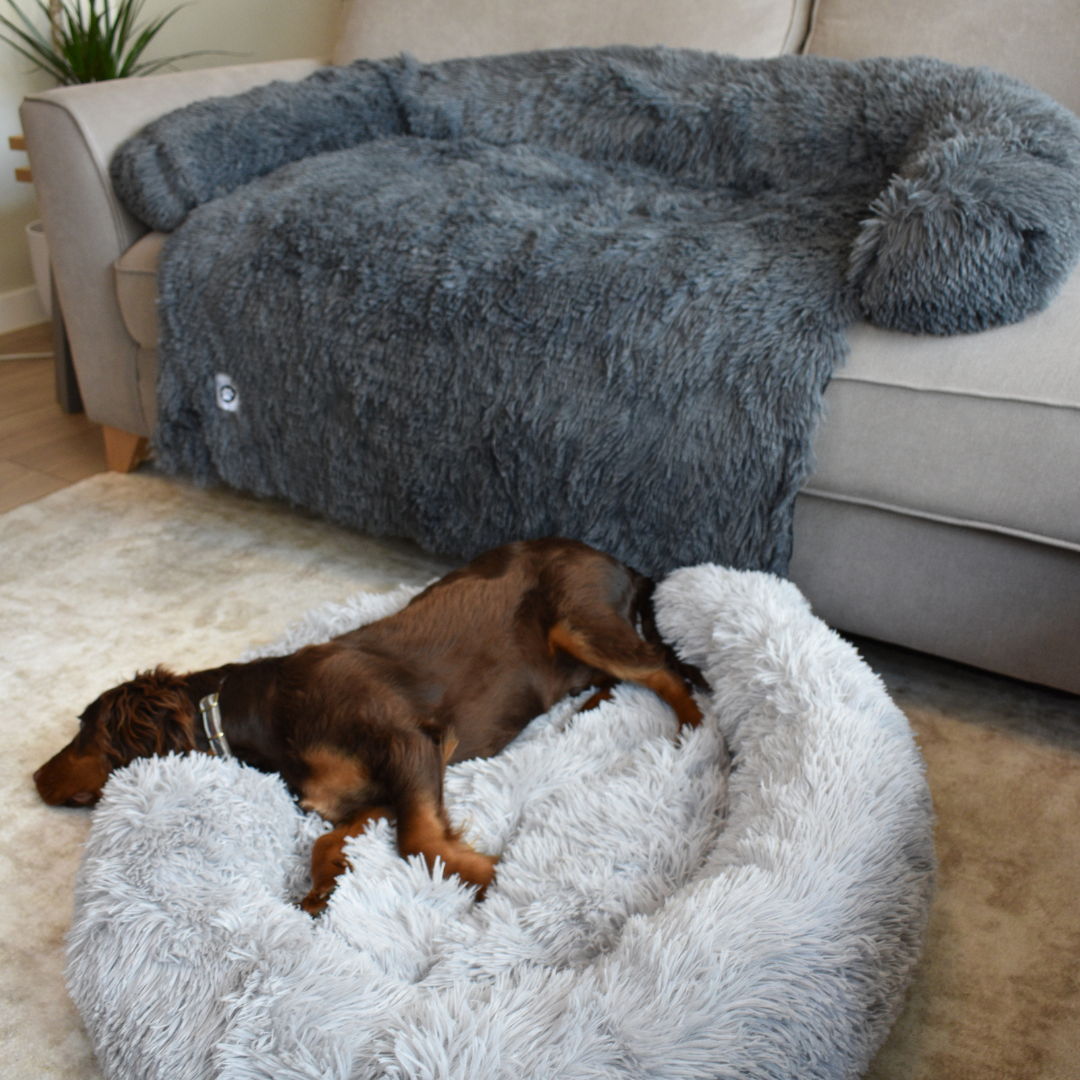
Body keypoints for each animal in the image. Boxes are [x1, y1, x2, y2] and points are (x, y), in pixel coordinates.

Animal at [31, 537, 699, 911]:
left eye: (83, 729)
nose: (34, 779)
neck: (254, 715)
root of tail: (623, 565)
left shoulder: (409, 743)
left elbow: (420, 841)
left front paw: (491, 878)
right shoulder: (373, 788)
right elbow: (330, 839)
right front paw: (320, 892)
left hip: (578, 616)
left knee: (669, 671)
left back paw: (694, 732)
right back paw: (590, 710)